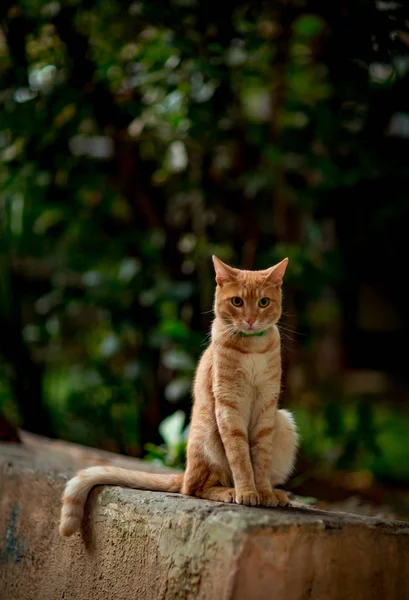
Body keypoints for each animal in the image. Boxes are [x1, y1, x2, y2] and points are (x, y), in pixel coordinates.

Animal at [59, 255, 296, 536]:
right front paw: (248, 492)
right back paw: (227, 491)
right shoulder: (228, 407)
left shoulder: (266, 408)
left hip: (283, 421)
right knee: (194, 488)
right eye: (237, 302)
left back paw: (276, 493)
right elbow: (240, 458)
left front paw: (264, 491)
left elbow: (260, 458)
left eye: (263, 302)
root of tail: (184, 472)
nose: (250, 320)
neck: (252, 348)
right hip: (209, 429)